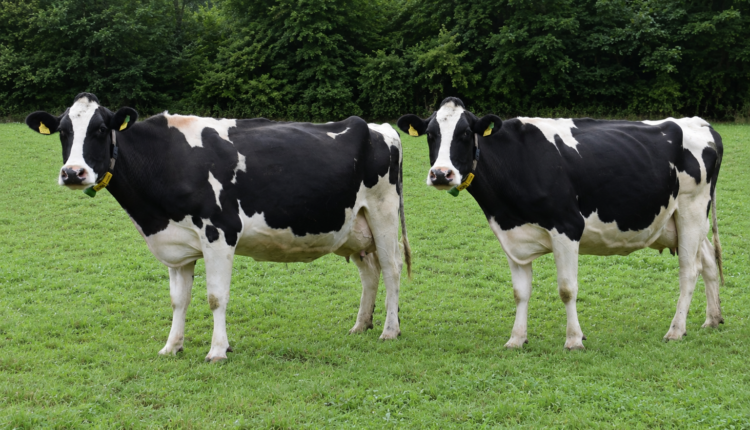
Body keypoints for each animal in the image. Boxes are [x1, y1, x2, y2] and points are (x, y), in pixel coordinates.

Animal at [26, 93, 411, 362]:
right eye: (63, 132)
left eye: (100, 129)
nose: (73, 172)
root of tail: (380, 127)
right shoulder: (177, 246)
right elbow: (178, 300)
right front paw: (172, 346)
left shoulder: (220, 233)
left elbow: (215, 297)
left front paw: (217, 351)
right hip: (354, 227)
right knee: (370, 272)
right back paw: (360, 325)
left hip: (384, 213)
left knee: (391, 269)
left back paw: (390, 330)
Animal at [398, 97, 723, 350]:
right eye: (430, 134)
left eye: (465, 133)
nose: (441, 174)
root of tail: (700, 124)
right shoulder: (511, 234)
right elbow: (520, 292)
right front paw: (516, 339)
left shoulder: (567, 227)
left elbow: (567, 288)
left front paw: (574, 339)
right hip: (680, 221)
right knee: (708, 260)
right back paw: (712, 318)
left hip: (692, 209)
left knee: (689, 270)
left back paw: (676, 330)